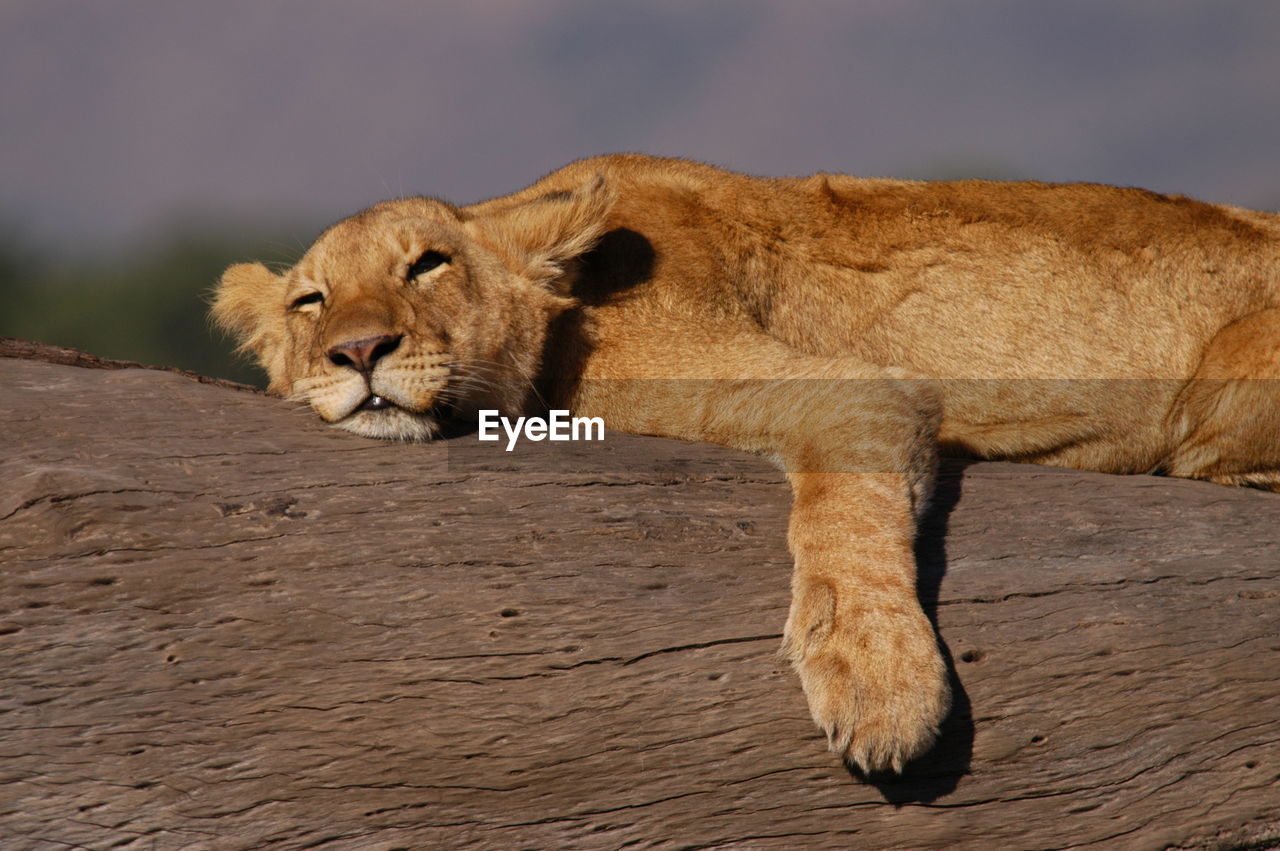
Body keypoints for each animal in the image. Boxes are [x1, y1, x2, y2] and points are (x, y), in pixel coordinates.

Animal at [215, 154, 1280, 778]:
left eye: (428, 264)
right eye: (312, 299)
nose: (357, 351)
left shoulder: (857, 386)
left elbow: (842, 521)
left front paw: (878, 680)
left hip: (1217, 396)